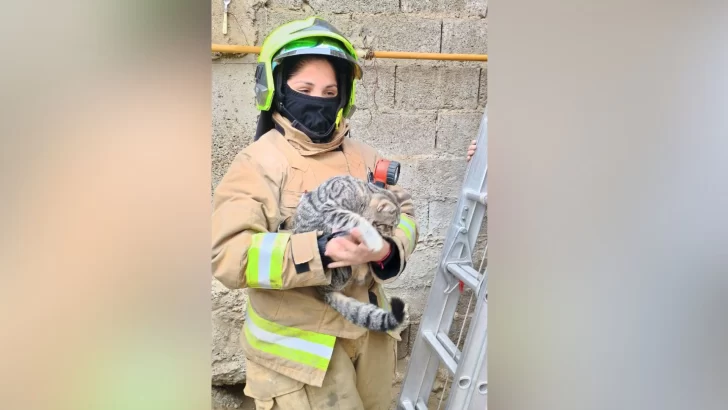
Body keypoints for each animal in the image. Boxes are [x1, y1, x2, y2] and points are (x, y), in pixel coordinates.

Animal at [294, 175, 410, 334]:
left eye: (395, 227)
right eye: (388, 226)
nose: (390, 235)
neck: (362, 194)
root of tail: (322, 290)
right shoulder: (331, 209)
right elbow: (356, 219)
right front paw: (374, 239)